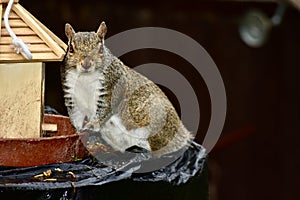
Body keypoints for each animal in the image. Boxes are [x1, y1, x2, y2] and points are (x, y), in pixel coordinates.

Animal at [61, 22, 193, 156]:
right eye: (71, 49)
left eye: (100, 49)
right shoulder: (72, 93)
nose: (86, 64)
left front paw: (92, 125)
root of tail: (183, 135)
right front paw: (77, 130)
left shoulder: (112, 86)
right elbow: (76, 115)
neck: (85, 77)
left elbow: (104, 109)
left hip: (156, 119)